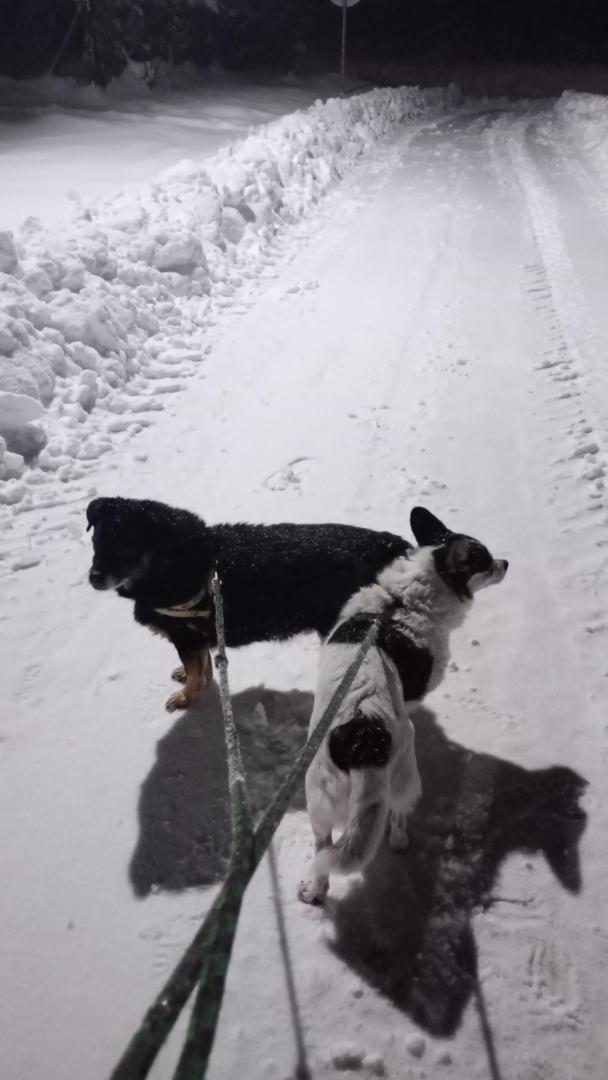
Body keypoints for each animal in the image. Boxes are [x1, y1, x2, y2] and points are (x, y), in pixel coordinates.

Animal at [86, 496, 413, 711]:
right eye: (96, 542)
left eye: (127, 547)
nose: (93, 578)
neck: (169, 560)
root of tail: (389, 545)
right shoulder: (197, 637)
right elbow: (201, 665)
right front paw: (189, 677)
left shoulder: (186, 635)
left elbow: (197, 672)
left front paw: (187, 697)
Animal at [298, 507, 508, 905]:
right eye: (485, 561)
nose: (506, 562)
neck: (399, 605)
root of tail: (364, 738)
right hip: (404, 779)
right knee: (396, 817)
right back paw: (400, 840)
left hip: (319, 800)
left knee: (323, 849)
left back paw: (314, 889)